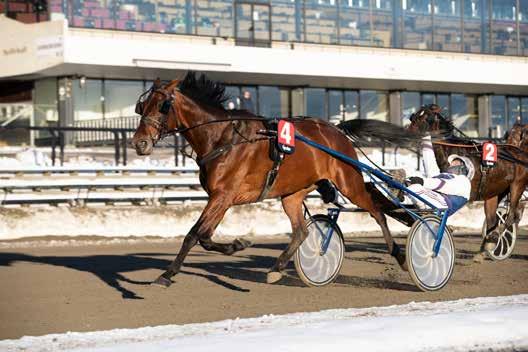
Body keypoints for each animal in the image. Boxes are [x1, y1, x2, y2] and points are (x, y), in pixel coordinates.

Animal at [133, 71, 420, 286]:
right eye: (142, 106)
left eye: (163, 106)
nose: (139, 143)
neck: (223, 137)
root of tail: (335, 130)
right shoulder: (221, 198)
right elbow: (204, 236)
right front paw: (237, 244)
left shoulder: (222, 196)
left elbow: (194, 234)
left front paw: (167, 274)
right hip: (292, 194)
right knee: (302, 231)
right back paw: (277, 268)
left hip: (349, 182)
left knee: (377, 211)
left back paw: (400, 255)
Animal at [406, 103, 524, 260]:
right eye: (413, 116)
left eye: (425, 118)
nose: (406, 133)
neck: (453, 151)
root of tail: (521, 154)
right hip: (493, 194)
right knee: (492, 221)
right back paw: (485, 247)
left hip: (517, 186)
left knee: (511, 216)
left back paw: (494, 237)